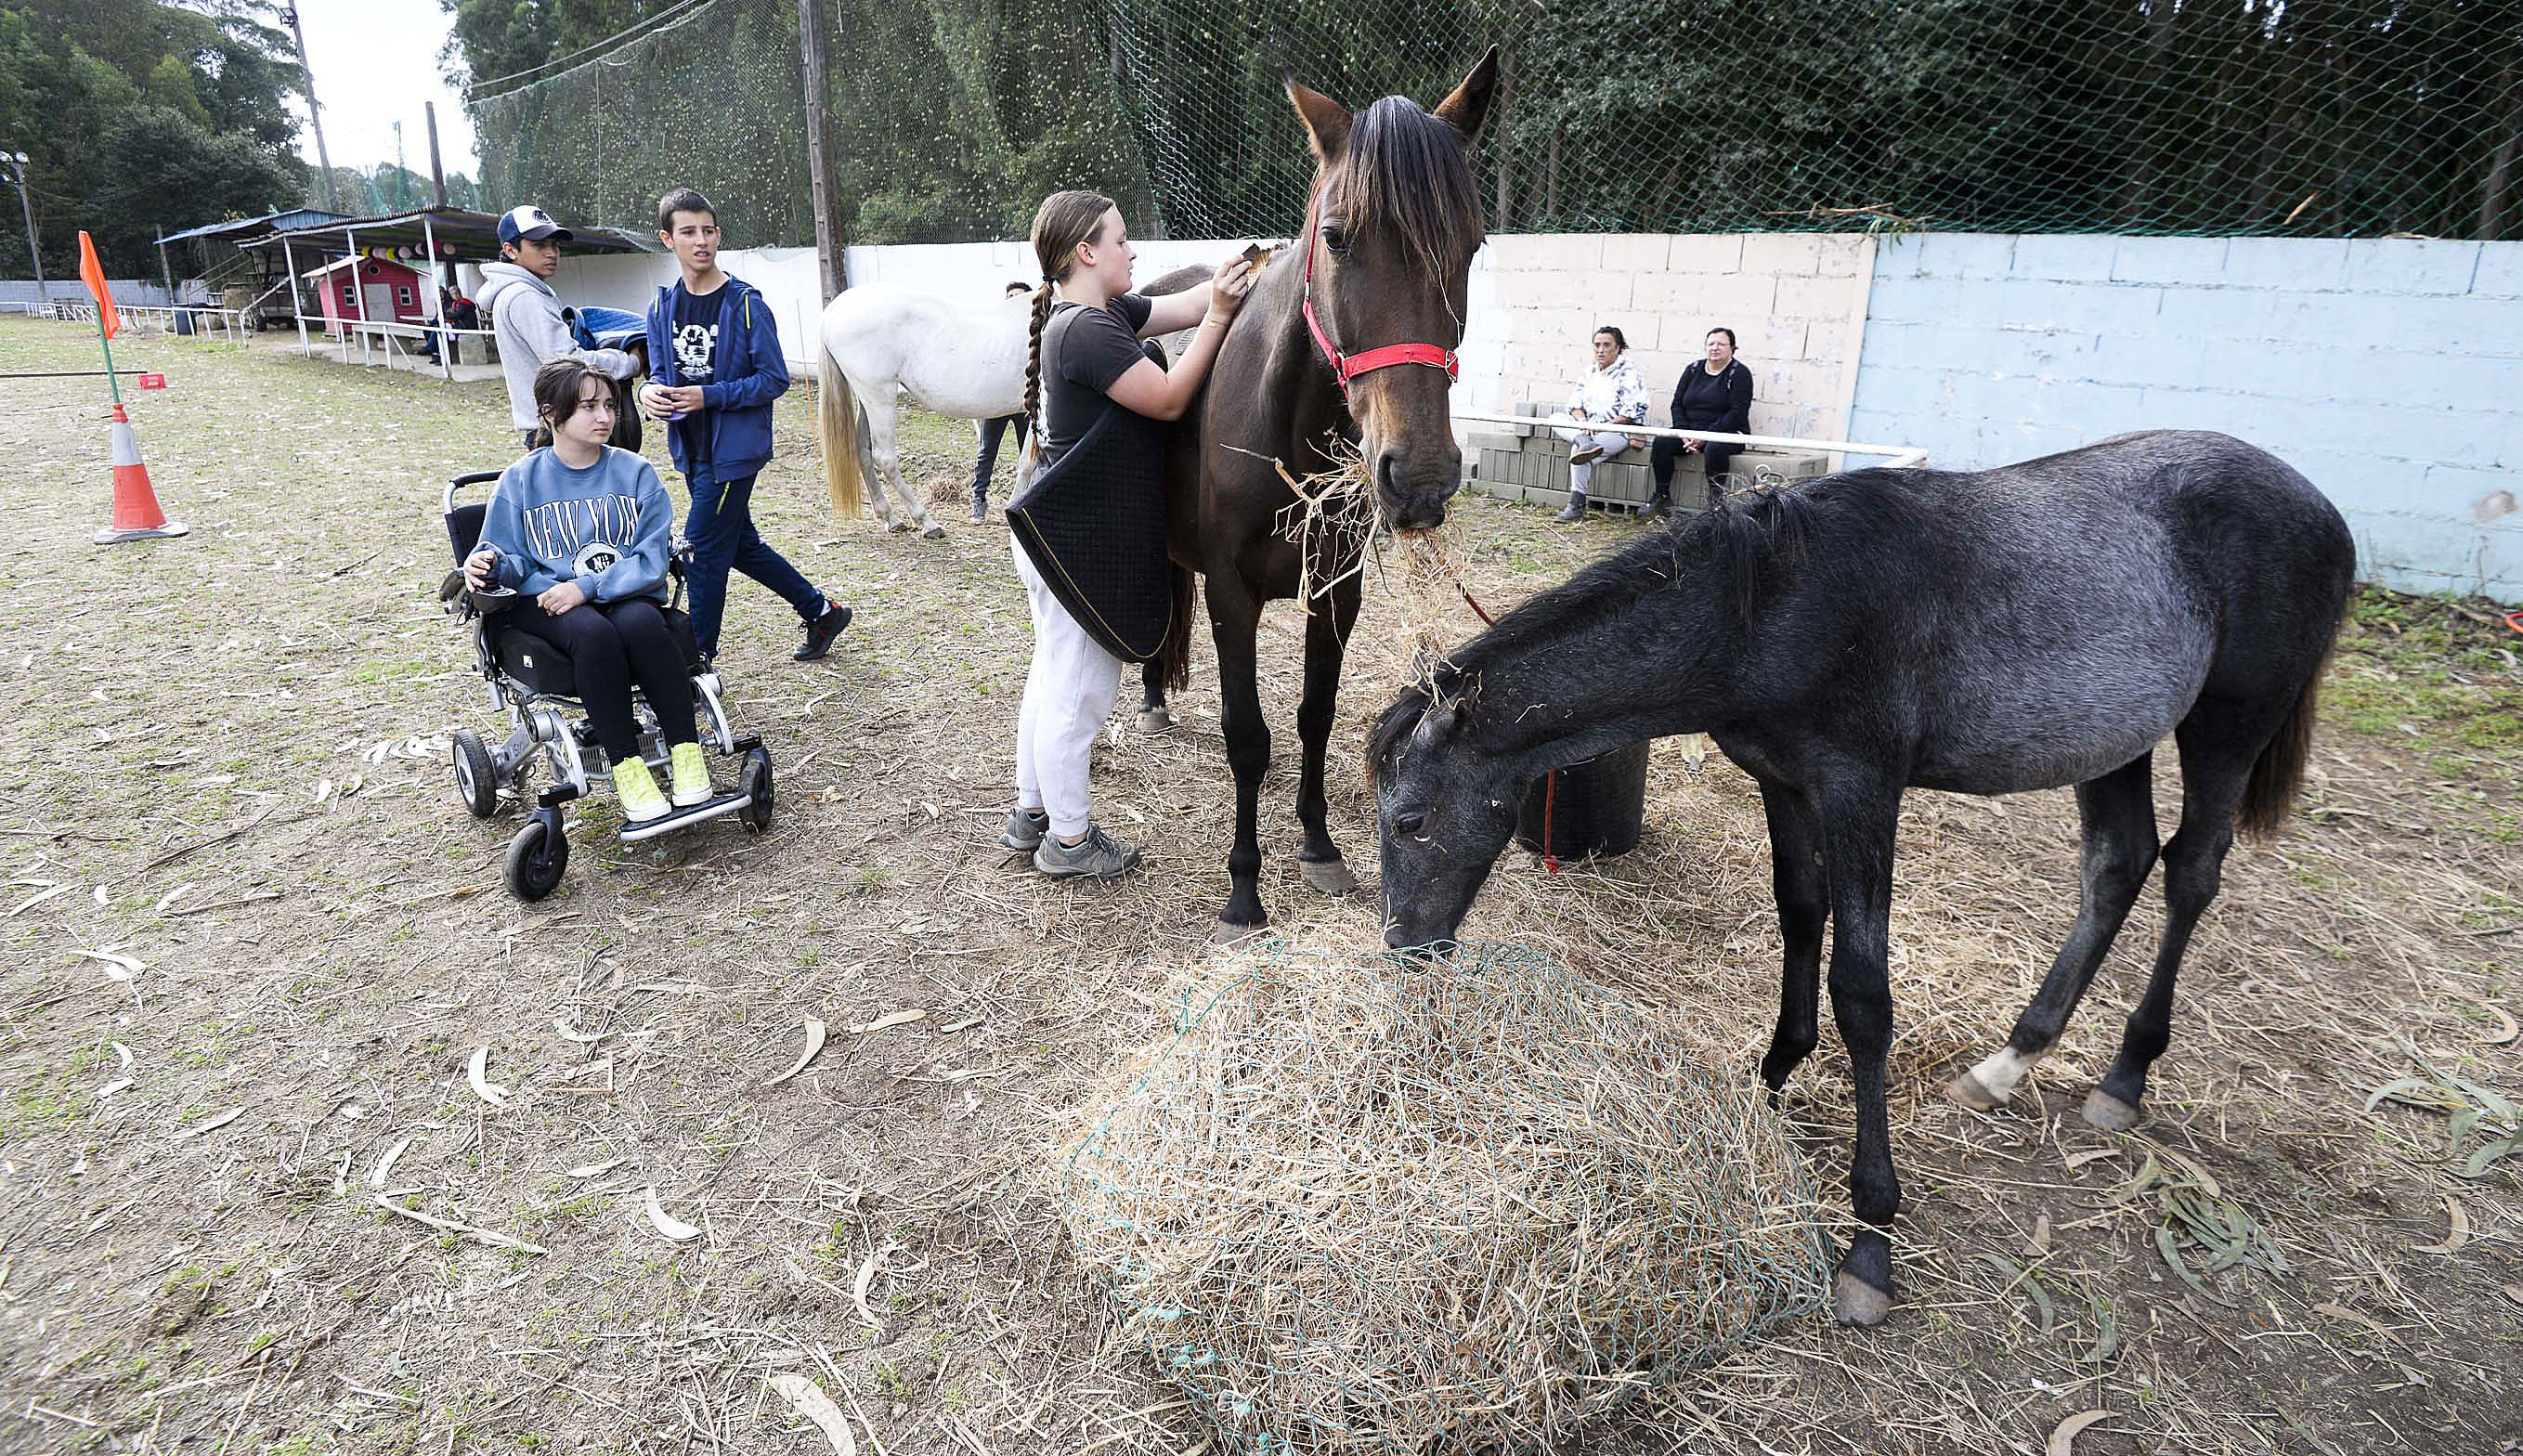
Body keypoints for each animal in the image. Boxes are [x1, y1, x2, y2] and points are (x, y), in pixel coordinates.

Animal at [807, 269, 1201, 537]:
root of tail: (834, 311)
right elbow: (1029, 465)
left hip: (867, 399)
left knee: (861, 450)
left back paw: (890, 517)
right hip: (880, 397)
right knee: (885, 458)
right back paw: (926, 521)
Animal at [1150, 51, 1493, 938]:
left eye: (1472, 243)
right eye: (1336, 237)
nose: (1420, 475)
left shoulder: (1336, 592)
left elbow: (1314, 715)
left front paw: (1317, 845)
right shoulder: (1230, 593)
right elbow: (1247, 735)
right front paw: (1243, 888)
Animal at [1372, 428, 2351, 1312]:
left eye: (1409, 820)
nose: (1407, 950)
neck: (1772, 603)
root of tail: (2321, 508)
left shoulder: (1861, 790)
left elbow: (1863, 994)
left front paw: (1870, 1237)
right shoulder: (1781, 780)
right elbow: (1799, 915)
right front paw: (1769, 1079)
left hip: (2229, 721)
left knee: (2190, 872)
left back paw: (2125, 1074)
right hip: (2111, 738)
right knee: (2118, 864)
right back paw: (2010, 1060)